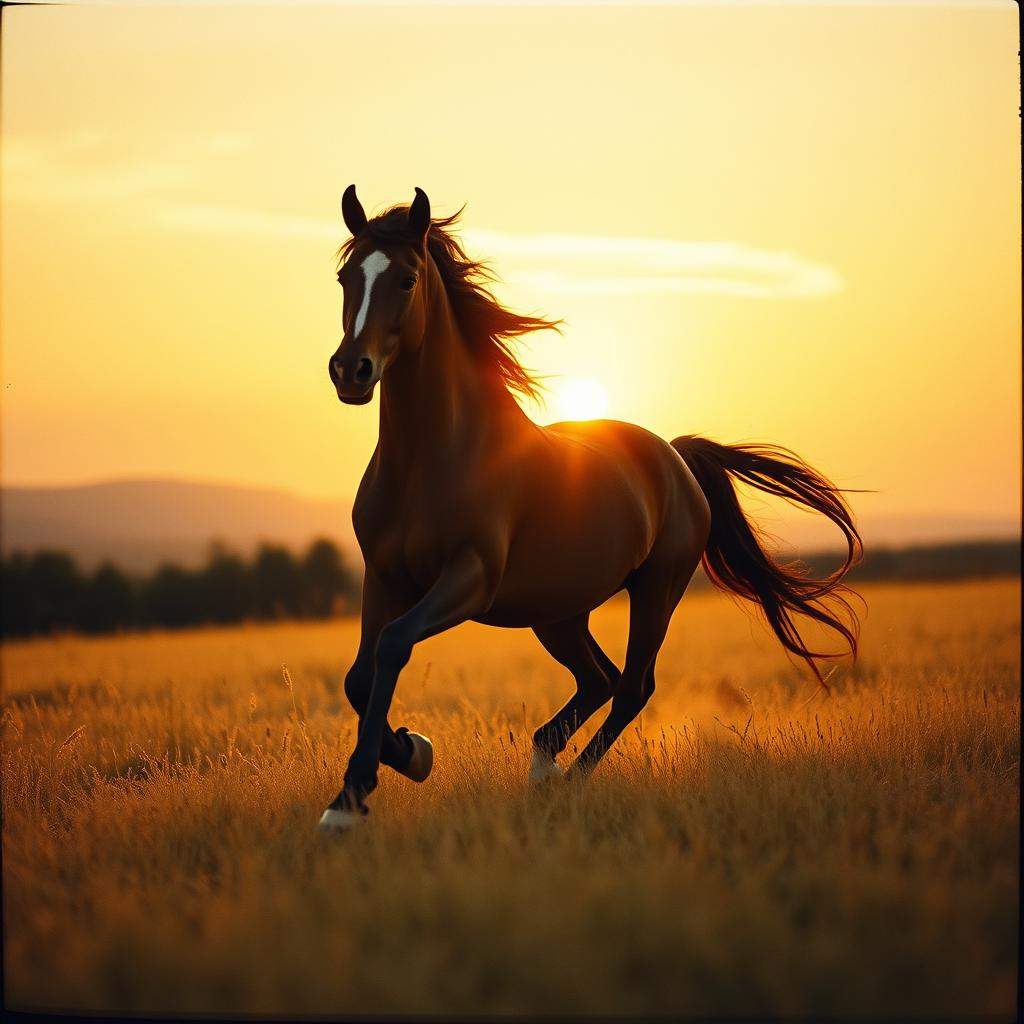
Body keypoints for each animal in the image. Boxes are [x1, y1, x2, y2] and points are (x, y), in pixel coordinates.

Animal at [320, 185, 862, 832]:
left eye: (405, 278)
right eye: (345, 276)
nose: (351, 371)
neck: (434, 459)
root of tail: (673, 458)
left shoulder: (470, 579)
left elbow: (393, 645)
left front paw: (357, 794)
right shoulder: (384, 577)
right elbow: (359, 676)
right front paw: (404, 757)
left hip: (655, 589)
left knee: (632, 685)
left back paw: (567, 782)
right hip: (556, 612)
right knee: (598, 679)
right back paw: (542, 766)